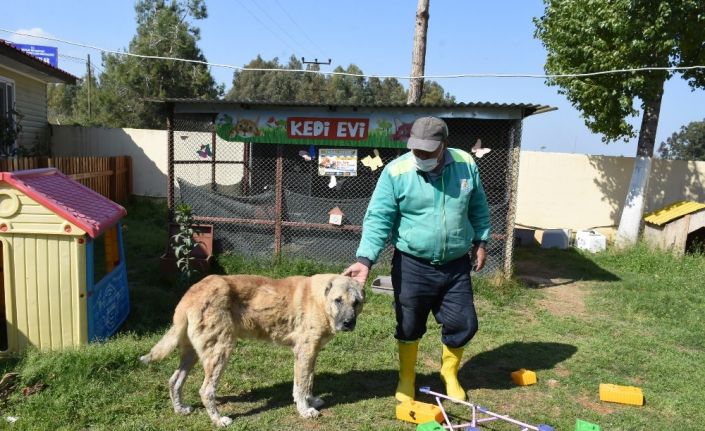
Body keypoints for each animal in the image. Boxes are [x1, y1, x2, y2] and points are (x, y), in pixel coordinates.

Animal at [141, 276, 366, 426]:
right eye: (338, 300)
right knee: (206, 390)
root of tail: (190, 294)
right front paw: (304, 410)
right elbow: (301, 385)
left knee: (174, 380)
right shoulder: (305, 351)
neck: (321, 300)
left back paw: (180, 409)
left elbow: (307, 381)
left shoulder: (310, 353)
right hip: (220, 350)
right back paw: (218, 420)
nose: (348, 323)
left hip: (192, 353)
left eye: (356, 302)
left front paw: (311, 401)